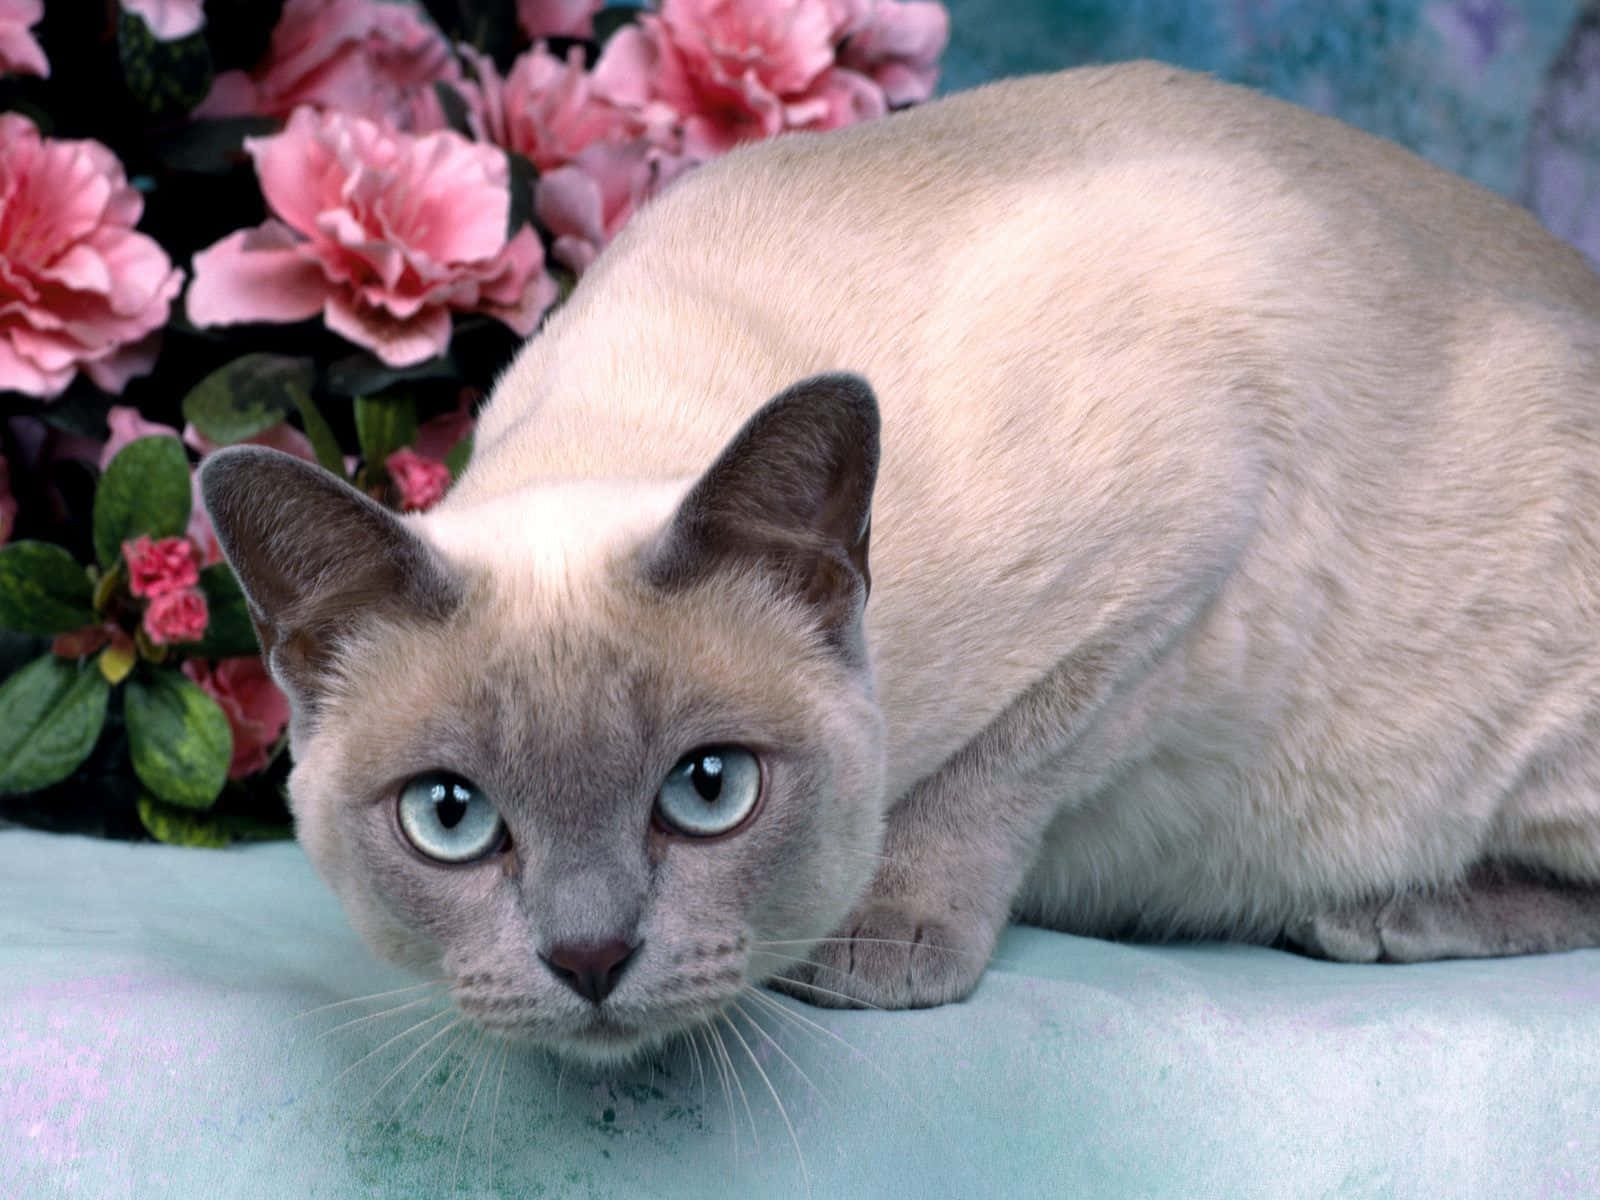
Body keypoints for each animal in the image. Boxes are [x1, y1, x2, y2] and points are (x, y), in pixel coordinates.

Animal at [200, 61, 1600, 1068]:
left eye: (707, 791)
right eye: (450, 819)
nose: (589, 959)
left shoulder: (1176, 567)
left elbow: (995, 771)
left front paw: (879, 949)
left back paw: (1377, 916)